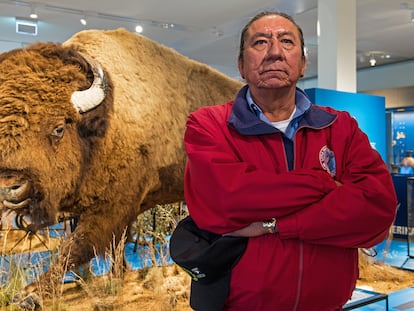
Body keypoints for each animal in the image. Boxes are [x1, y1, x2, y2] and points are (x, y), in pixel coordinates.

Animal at [0, 27, 243, 308]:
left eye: (58, 128)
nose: (9, 187)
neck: (104, 120)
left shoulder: (112, 207)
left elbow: (75, 247)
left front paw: (29, 294)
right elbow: (116, 244)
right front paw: (118, 276)